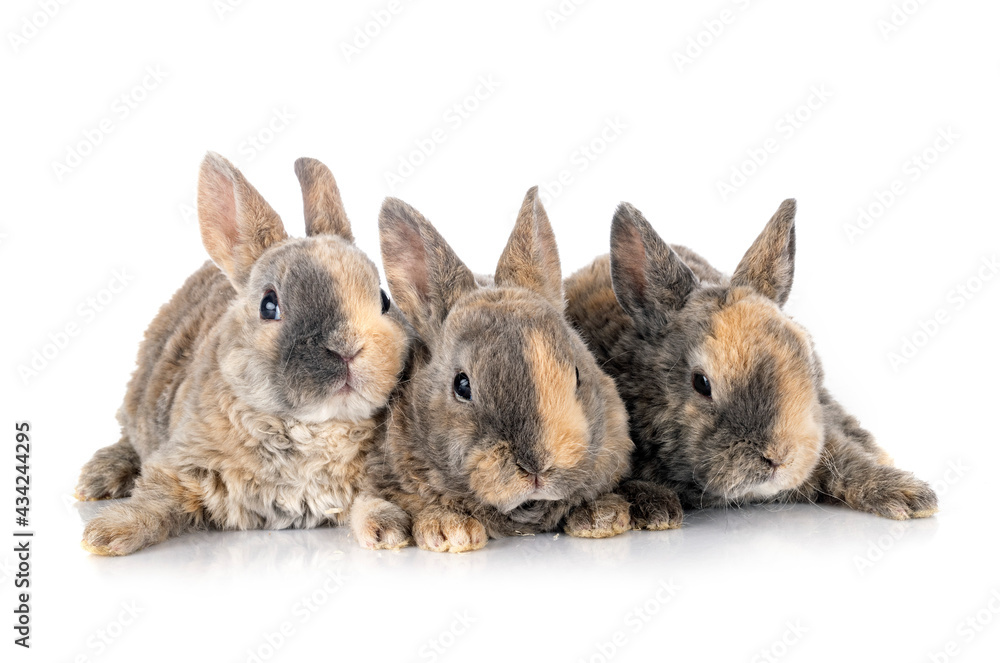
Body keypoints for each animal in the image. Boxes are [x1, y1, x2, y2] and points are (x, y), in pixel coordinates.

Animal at [75, 152, 411, 555]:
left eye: (383, 299)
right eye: (269, 305)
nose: (347, 348)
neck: (317, 427)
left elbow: (372, 498)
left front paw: (387, 530)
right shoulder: (181, 464)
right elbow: (153, 499)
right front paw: (105, 534)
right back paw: (97, 480)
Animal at [564, 199, 938, 520]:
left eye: (809, 365)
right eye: (701, 383)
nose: (779, 458)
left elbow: (845, 458)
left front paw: (910, 495)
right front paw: (654, 507)